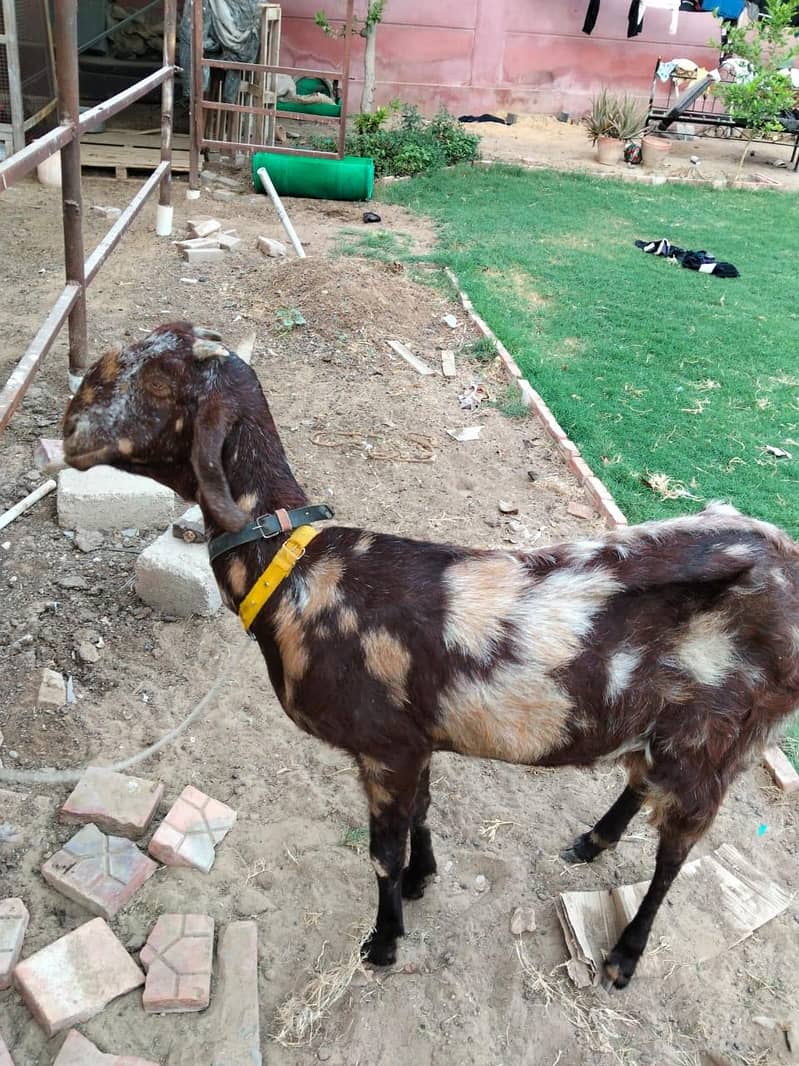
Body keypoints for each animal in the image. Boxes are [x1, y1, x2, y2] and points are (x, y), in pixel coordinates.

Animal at [62, 323, 799, 989]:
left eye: (157, 381)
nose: (68, 428)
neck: (297, 571)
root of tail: (784, 559)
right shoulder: (414, 741)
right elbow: (422, 812)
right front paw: (425, 877)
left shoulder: (383, 746)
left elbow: (381, 855)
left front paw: (384, 941)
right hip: (668, 730)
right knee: (639, 778)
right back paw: (593, 842)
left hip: (717, 741)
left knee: (676, 853)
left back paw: (624, 954)